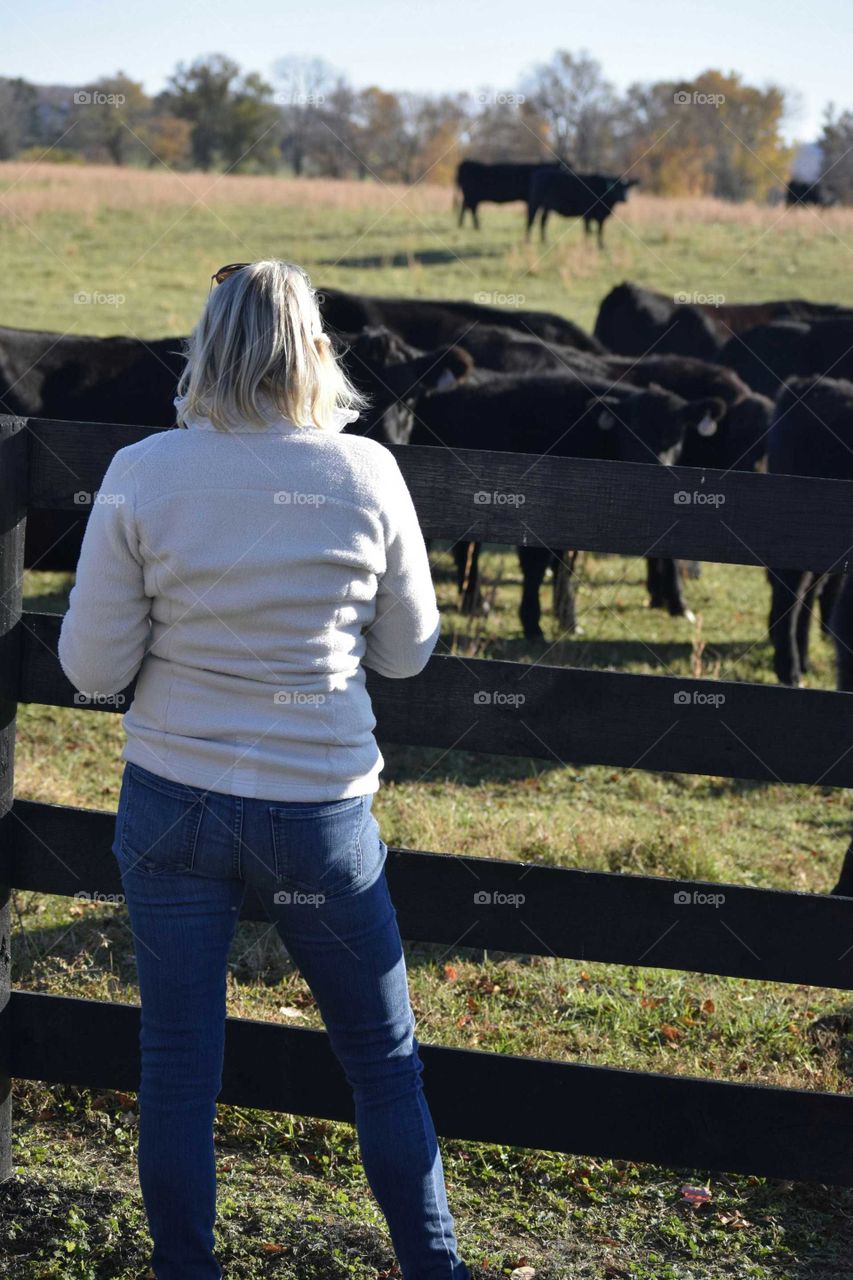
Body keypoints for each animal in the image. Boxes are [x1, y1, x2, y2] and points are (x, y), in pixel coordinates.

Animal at [410, 369, 725, 638]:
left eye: (676, 435)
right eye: (630, 433)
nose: (656, 467)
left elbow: (565, 566)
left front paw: (568, 620)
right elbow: (537, 567)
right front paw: (533, 624)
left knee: (466, 550)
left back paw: (475, 604)